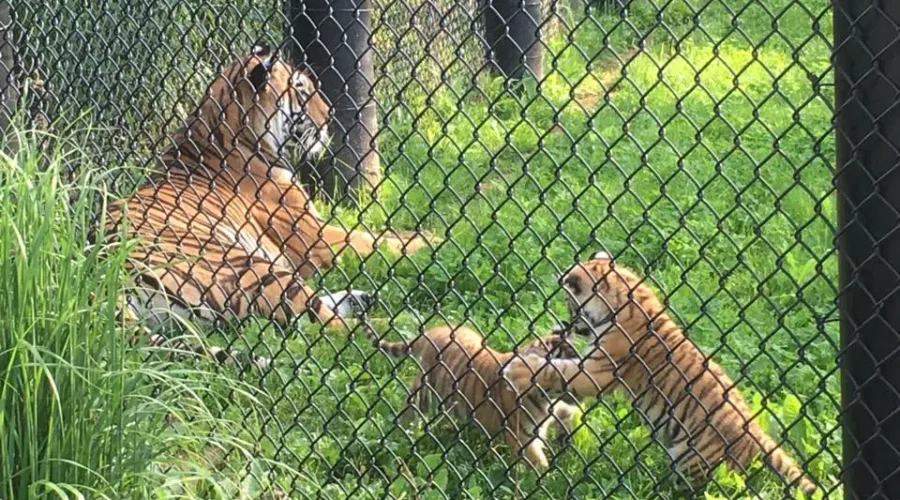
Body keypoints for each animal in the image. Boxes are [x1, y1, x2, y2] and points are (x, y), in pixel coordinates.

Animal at [108, 45, 434, 367]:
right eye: (301, 90)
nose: (329, 115)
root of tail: (111, 277)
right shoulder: (316, 237)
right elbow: (381, 240)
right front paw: (436, 241)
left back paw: (360, 300)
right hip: (251, 267)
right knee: (332, 330)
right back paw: (404, 327)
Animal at [367, 323, 581, 469]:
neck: (548, 399)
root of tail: (435, 330)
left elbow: (568, 415)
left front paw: (565, 438)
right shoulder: (522, 435)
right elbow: (538, 464)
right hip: (423, 393)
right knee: (407, 414)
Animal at [502, 252, 818, 495]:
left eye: (569, 303)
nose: (569, 323)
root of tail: (756, 432)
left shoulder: (598, 371)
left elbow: (557, 371)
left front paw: (518, 367)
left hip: (693, 460)